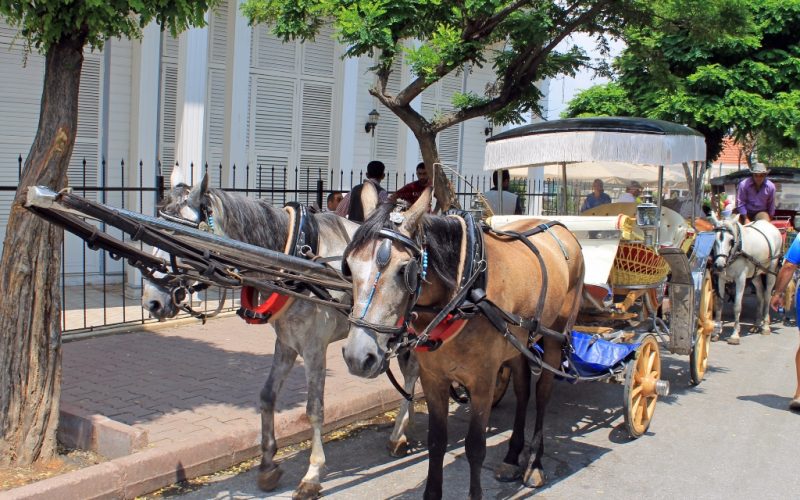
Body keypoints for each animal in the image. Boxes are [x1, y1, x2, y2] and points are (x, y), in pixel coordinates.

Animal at [340, 189, 584, 498]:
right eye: (349, 266)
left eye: (404, 270)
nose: (358, 357)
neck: (465, 293)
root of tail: (562, 228)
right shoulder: (434, 379)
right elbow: (436, 441)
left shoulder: (483, 382)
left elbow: (475, 447)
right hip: (516, 344)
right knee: (523, 390)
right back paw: (511, 458)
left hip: (555, 337)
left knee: (541, 395)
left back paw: (534, 465)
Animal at [712, 213, 780, 346]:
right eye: (714, 239)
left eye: (731, 240)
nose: (719, 265)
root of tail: (769, 224)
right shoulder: (721, 278)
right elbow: (719, 304)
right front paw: (716, 333)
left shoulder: (741, 279)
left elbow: (737, 306)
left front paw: (734, 335)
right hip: (756, 273)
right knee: (760, 294)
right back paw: (756, 324)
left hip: (771, 270)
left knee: (767, 295)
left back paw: (765, 326)